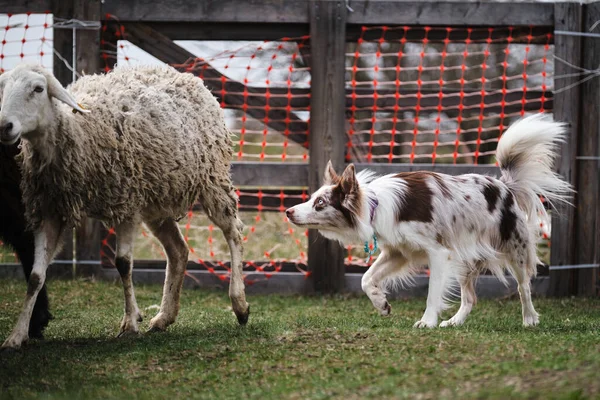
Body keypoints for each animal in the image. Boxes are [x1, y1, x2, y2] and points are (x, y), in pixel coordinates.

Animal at [0, 64, 248, 348]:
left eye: (39, 88)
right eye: (2, 88)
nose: (4, 126)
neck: (76, 129)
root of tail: (189, 78)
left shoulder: (125, 204)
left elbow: (123, 264)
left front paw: (130, 322)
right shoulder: (48, 211)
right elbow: (35, 276)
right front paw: (17, 335)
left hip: (212, 179)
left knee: (233, 232)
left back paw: (240, 305)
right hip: (155, 200)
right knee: (178, 250)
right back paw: (164, 317)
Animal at [288, 114, 576, 326]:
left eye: (320, 203)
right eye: (312, 198)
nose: (288, 211)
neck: (375, 206)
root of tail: (504, 185)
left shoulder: (438, 252)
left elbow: (432, 293)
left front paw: (426, 322)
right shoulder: (398, 252)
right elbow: (366, 279)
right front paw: (381, 303)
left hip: (514, 250)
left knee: (523, 286)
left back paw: (529, 319)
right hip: (465, 259)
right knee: (470, 298)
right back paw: (454, 322)